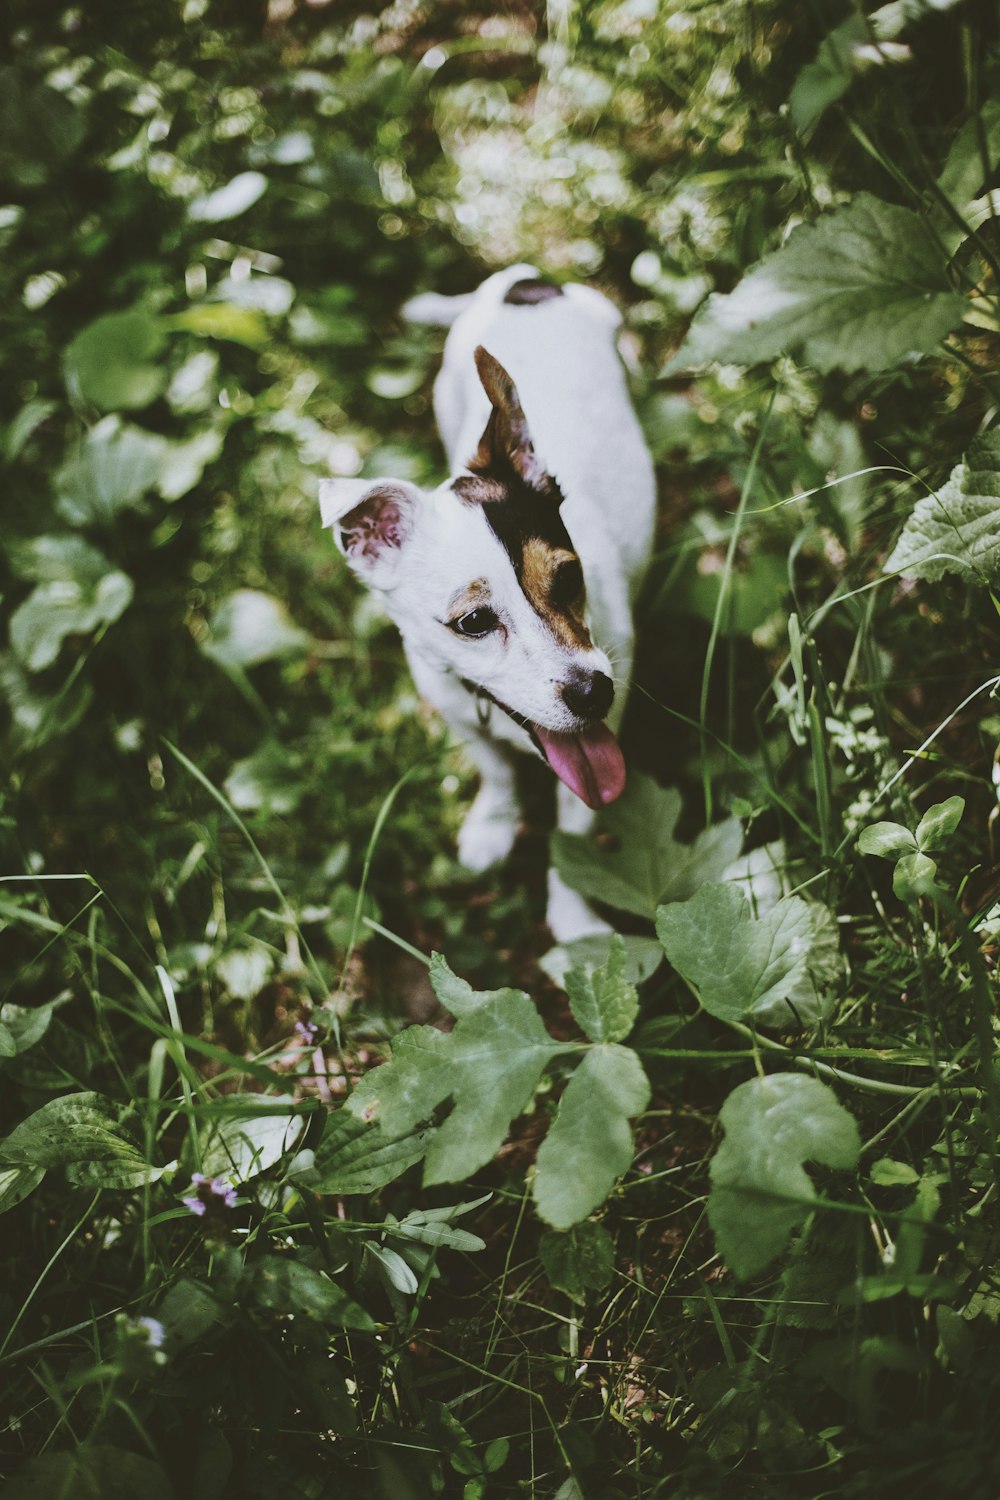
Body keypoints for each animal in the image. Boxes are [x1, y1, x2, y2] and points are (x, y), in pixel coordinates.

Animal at [320, 259, 656, 936]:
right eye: (473, 621)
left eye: (569, 579)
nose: (594, 692)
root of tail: (525, 280)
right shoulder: (451, 708)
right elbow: (497, 771)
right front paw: (494, 825)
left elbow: (573, 832)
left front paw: (574, 923)